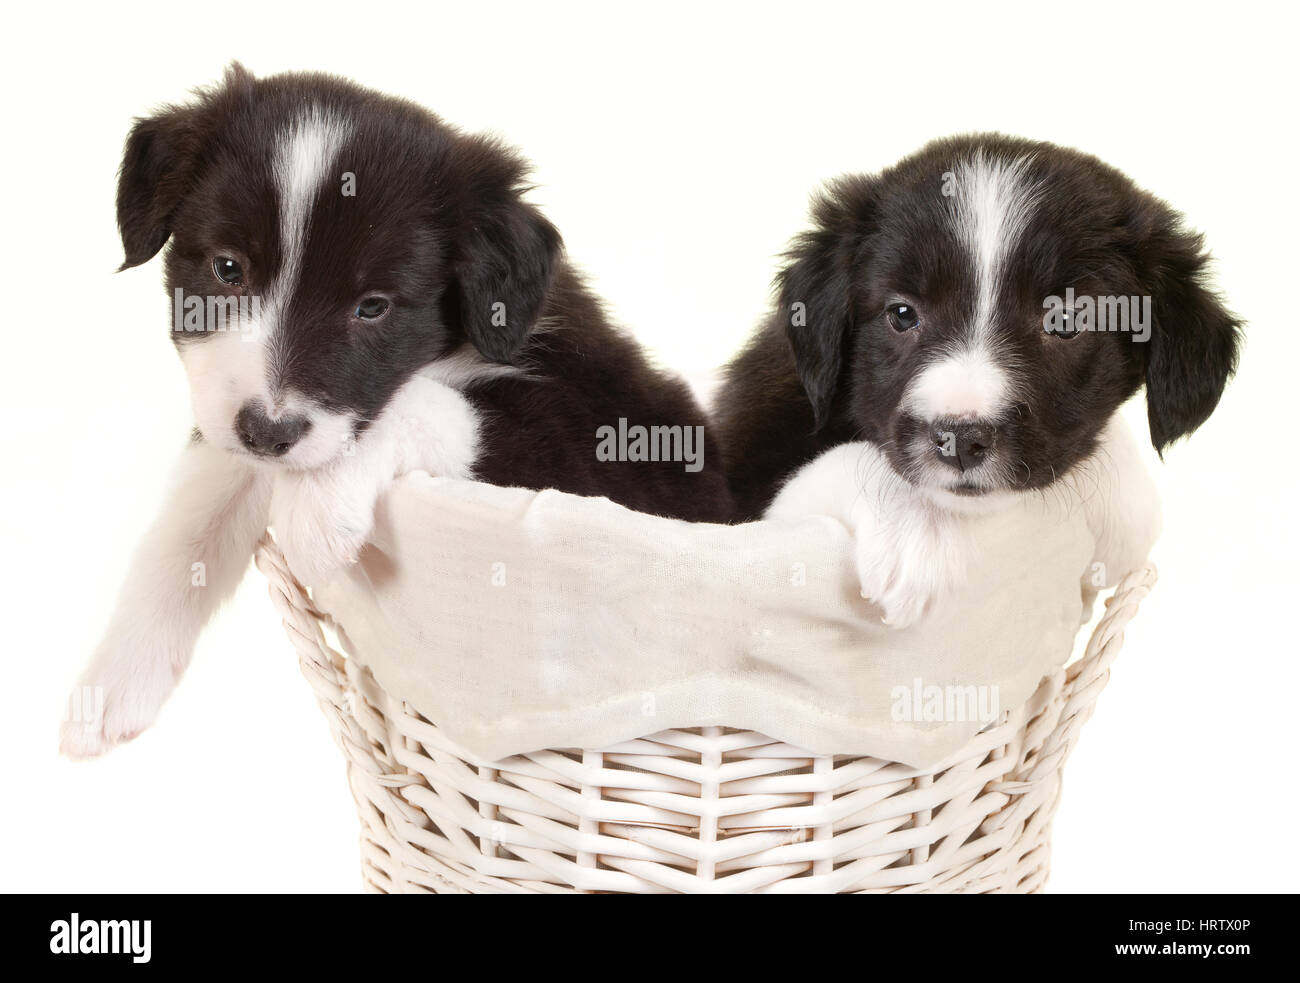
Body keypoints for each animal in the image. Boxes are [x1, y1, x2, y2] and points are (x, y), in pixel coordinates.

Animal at [63, 67, 733, 759]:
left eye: (374, 306)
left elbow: (428, 401)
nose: (269, 432)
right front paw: (114, 680)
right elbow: (189, 524)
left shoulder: (606, 451)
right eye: (228, 269)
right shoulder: (229, 420)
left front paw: (318, 508)